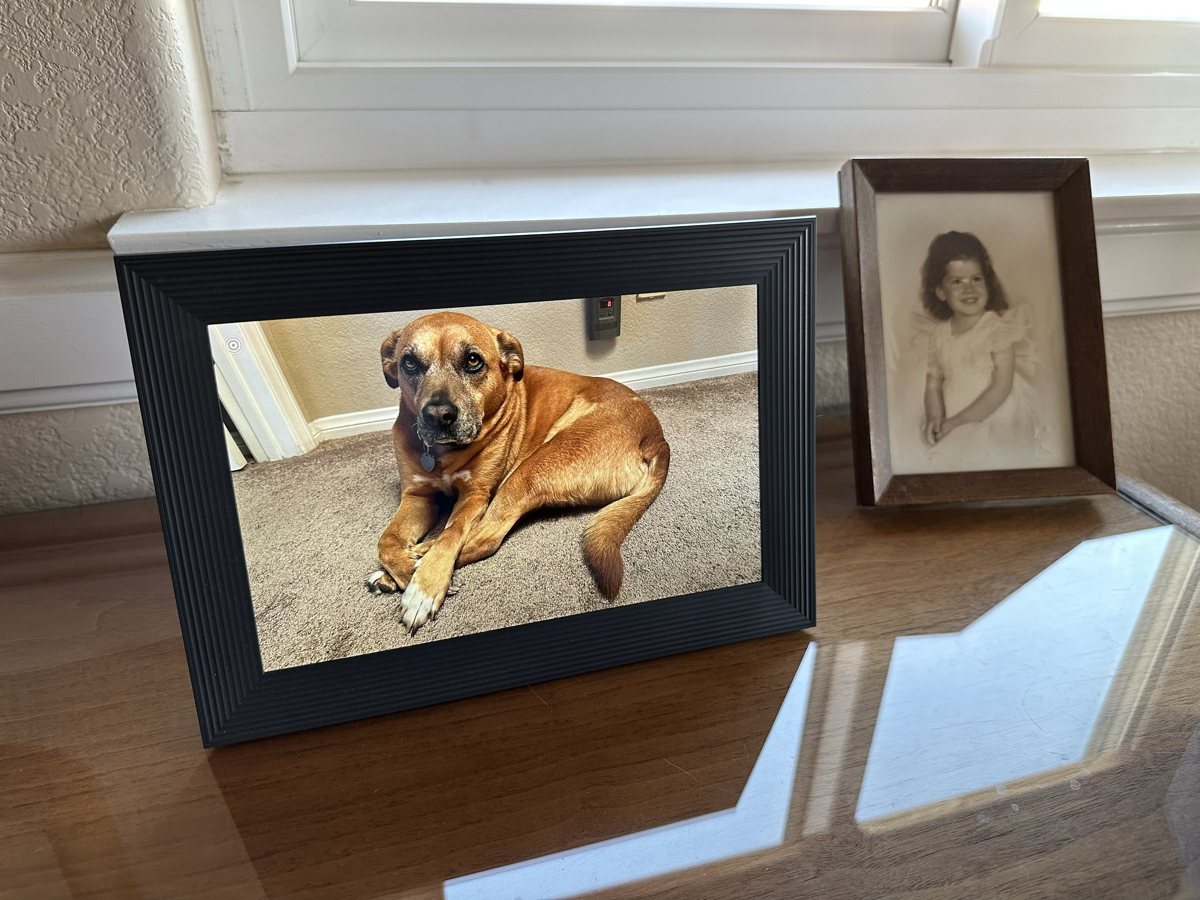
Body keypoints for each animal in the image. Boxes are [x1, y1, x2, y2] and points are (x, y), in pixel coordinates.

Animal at [364, 309, 672, 633]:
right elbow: (386, 541)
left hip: (528, 470)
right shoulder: (416, 496)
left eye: (473, 361)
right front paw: (404, 569)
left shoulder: (474, 496)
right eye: (409, 363)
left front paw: (423, 585)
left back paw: (413, 563)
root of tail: (656, 437)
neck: (444, 454)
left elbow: (452, 534)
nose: (438, 415)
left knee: (486, 537)